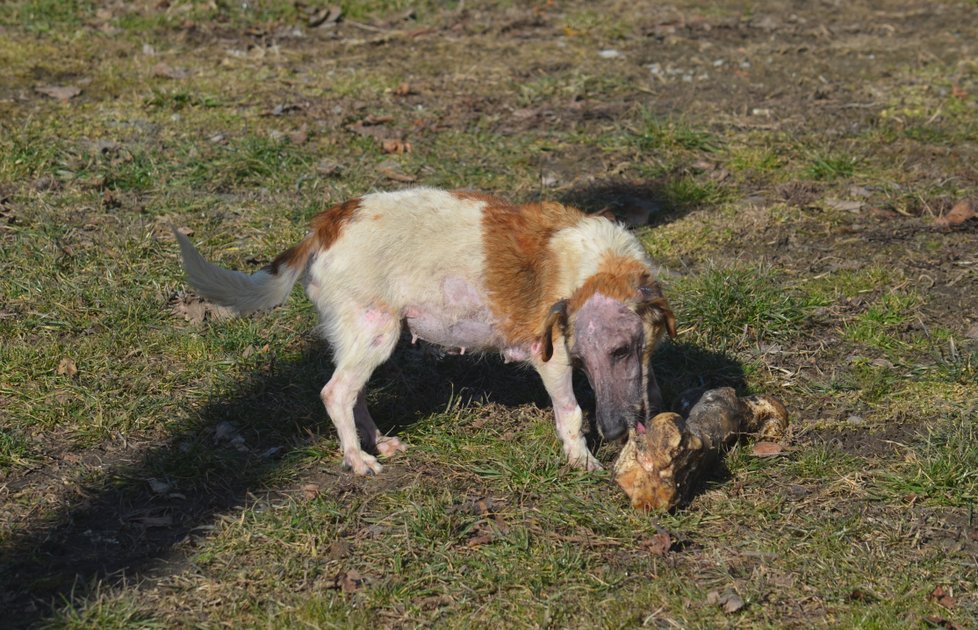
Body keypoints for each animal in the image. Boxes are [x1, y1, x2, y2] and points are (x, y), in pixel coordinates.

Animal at [173, 188, 672, 474]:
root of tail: (326, 226)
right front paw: (582, 459)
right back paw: (358, 460)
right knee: (334, 393)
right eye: (586, 358)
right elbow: (569, 413)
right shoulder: (551, 358)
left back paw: (377, 443)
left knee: (353, 394)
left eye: (623, 351)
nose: (612, 432)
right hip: (376, 334)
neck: (596, 265)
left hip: (364, 339)